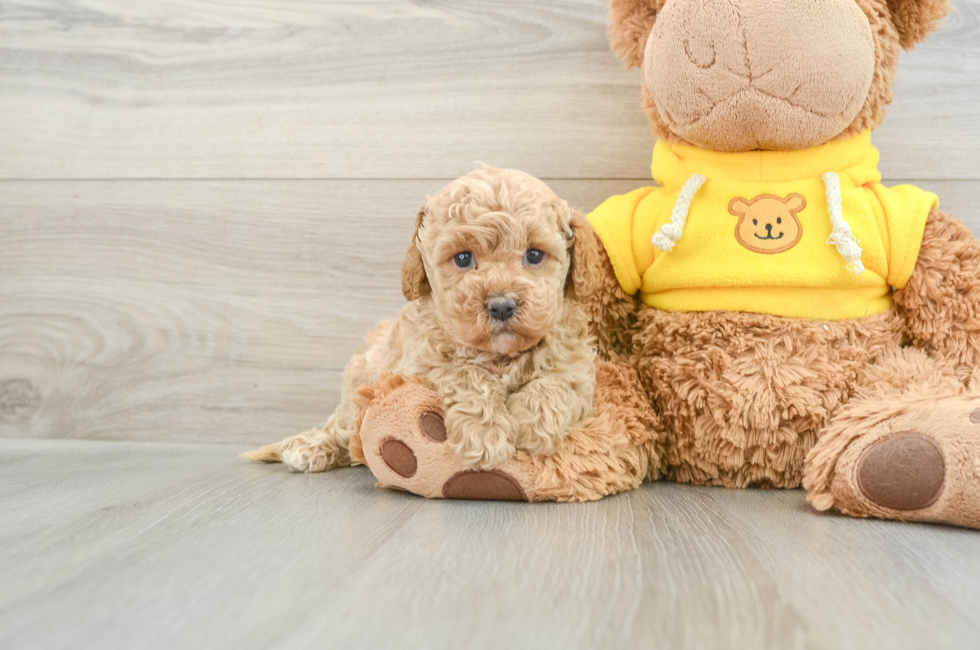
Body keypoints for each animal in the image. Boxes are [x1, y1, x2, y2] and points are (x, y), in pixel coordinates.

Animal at [245, 166, 596, 470]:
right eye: (463, 258)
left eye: (534, 254)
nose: (501, 306)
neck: (499, 355)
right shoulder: (420, 363)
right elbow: (466, 373)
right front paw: (486, 436)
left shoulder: (576, 362)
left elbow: (558, 382)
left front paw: (529, 426)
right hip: (360, 383)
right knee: (341, 429)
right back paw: (308, 448)